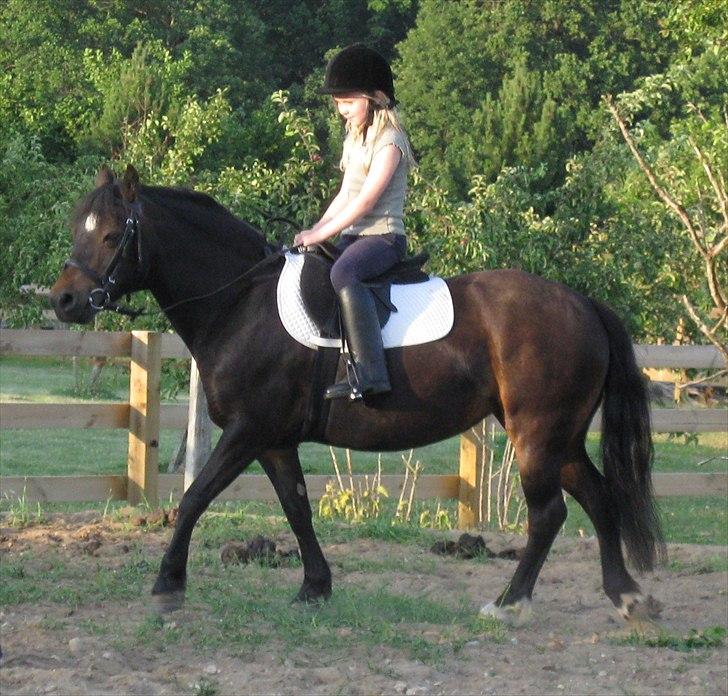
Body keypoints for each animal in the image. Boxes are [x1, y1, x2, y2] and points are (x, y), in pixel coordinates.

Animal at [49, 165, 664, 625]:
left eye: (112, 235)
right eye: (80, 229)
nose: (64, 301)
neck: (241, 302)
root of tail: (581, 303)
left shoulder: (248, 430)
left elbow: (196, 496)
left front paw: (167, 586)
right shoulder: (274, 440)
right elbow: (296, 506)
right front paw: (314, 588)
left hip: (536, 435)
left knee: (549, 514)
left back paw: (511, 603)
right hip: (559, 438)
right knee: (598, 498)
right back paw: (627, 596)